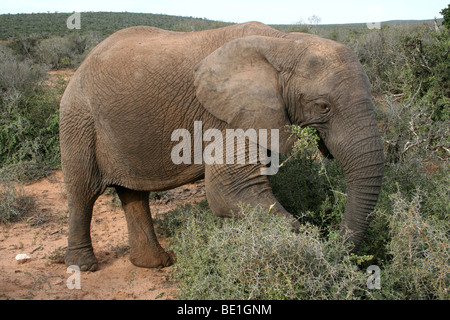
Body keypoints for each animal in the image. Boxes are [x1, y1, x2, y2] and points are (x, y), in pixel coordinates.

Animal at [59, 21, 384, 270]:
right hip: (78, 117)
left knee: (133, 194)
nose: (335, 241)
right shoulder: (224, 115)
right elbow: (228, 190)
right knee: (83, 191)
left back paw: (155, 263)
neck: (282, 43)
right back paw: (83, 266)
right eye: (323, 107)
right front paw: (305, 244)